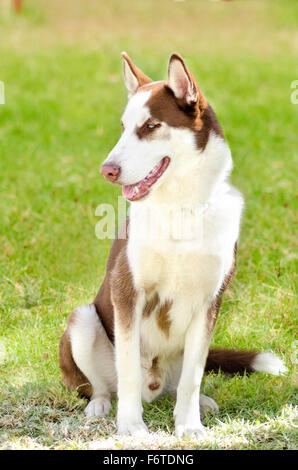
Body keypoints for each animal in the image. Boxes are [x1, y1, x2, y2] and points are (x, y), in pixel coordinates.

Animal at [58, 51, 286, 436]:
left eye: (151, 126)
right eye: (123, 127)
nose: (107, 170)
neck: (181, 207)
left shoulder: (209, 301)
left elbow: (193, 377)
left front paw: (189, 425)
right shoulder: (126, 291)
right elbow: (128, 370)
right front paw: (131, 427)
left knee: (181, 384)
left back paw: (200, 403)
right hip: (84, 320)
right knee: (101, 384)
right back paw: (101, 405)